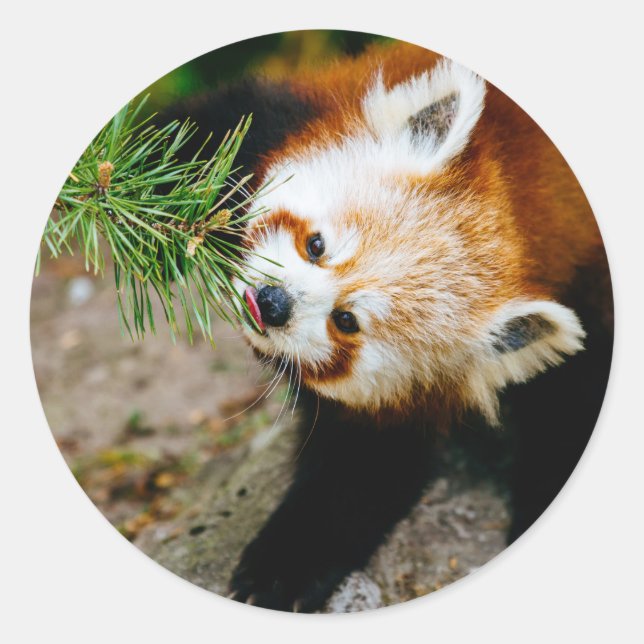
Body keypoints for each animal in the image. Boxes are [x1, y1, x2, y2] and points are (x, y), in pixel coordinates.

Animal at [164, 39, 613, 612]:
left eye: (347, 321)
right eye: (316, 245)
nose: (273, 303)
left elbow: (364, 472)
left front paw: (281, 566)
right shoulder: (287, 112)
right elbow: (187, 129)